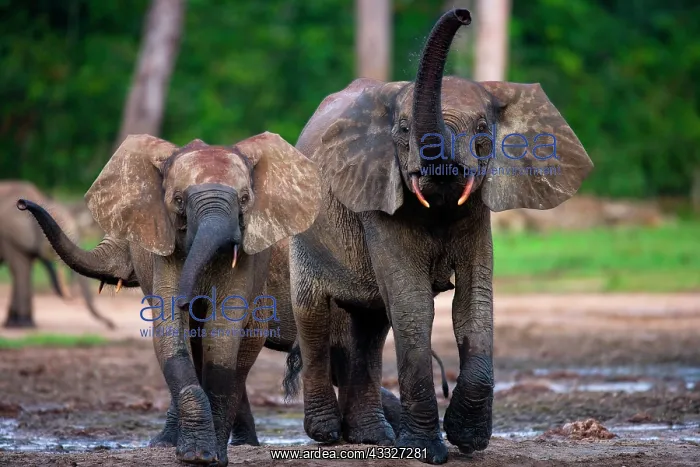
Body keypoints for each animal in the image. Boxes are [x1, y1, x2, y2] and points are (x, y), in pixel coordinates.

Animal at [0, 180, 115, 329]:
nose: (112, 325)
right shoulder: (9, 236)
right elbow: (20, 270)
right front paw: (23, 324)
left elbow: (25, 269)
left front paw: (20, 323)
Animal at [17, 131, 323, 467]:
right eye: (178, 201)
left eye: (244, 200)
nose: (22, 203)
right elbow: (173, 336)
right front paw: (189, 452)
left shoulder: (252, 263)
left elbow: (223, 337)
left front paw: (209, 455)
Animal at [283, 7, 593, 464]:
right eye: (403, 129)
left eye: (482, 128)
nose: (463, 15)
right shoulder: (378, 198)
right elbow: (414, 307)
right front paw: (426, 451)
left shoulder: (477, 211)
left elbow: (474, 304)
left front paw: (468, 440)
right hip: (304, 234)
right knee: (315, 316)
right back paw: (326, 434)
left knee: (371, 326)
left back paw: (373, 437)